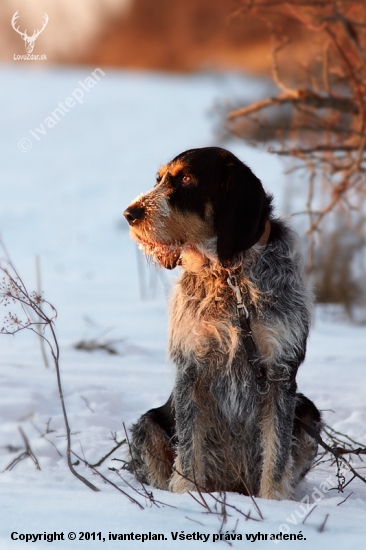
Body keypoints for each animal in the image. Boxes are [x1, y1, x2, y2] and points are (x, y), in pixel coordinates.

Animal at [123, 149, 320, 502]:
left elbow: (277, 453)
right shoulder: (191, 368)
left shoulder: (279, 372)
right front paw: (188, 495)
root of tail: (232, 485)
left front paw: (274, 502)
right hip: (148, 425)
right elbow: (189, 449)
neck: (230, 276)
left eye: (187, 179)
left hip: (309, 412)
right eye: (159, 179)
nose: (130, 214)